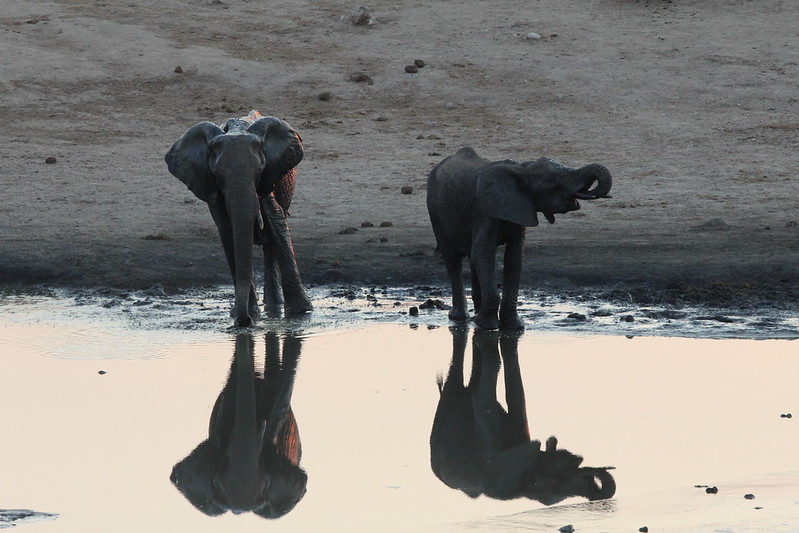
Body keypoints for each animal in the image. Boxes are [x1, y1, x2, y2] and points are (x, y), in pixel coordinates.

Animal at [166, 110, 312, 326]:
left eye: (259, 169)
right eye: (218, 173)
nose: (244, 321)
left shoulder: (270, 174)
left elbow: (276, 221)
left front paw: (301, 312)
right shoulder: (213, 188)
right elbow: (228, 231)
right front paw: (246, 314)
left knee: (271, 243)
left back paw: (274, 307)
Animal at [432, 147, 612, 328]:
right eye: (552, 181)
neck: (522, 168)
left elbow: (514, 258)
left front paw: (514, 326)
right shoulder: (483, 211)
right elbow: (483, 254)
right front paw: (487, 326)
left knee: (471, 259)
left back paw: (475, 312)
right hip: (435, 212)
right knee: (453, 259)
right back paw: (459, 317)